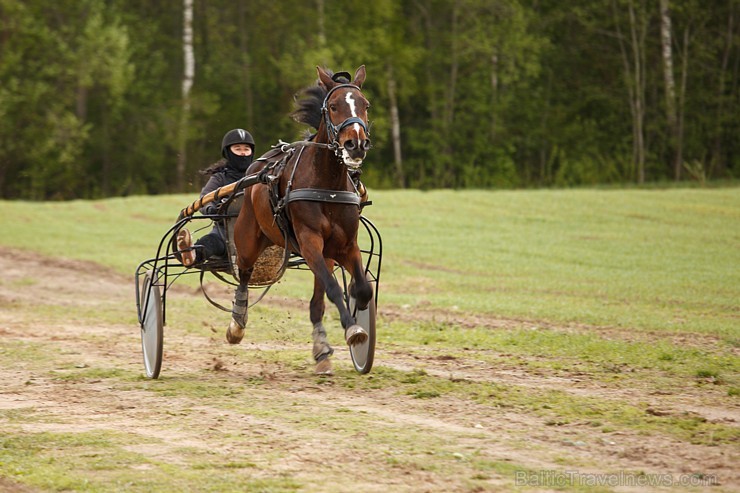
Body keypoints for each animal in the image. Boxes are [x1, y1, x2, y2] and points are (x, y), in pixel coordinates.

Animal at [228, 64, 372, 372]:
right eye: (333, 106)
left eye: (365, 105)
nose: (355, 144)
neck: (327, 185)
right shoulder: (309, 242)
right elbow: (333, 289)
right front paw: (353, 329)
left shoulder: (345, 245)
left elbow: (362, 288)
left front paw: (358, 313)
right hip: (248, 238)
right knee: (244, 273)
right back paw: (237, 323)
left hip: (324, 254)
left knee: (317, 300)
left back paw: (322, 350)